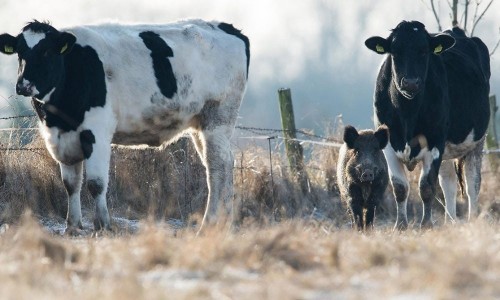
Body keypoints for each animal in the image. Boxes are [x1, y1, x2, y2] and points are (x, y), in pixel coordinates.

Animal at [0, 19, 250, 232]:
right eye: (20, 52)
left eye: (46, 51)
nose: (24, 85)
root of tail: (227, 27)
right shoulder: (61, 137)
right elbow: (71, 184)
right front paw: (72, 227)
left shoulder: (97, 132)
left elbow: (96, 183)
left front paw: (103, 226)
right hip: (200, 124)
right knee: (220, 164)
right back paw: (223, 224)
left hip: (218, 117)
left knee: (218, 166)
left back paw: (210, 224)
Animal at [366, 19, 490, 229]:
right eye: (395, 51)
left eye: (424, 51)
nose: (410, 83)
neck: (407, 113)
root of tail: (455, 31)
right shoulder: (389, 144)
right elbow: (400, 187)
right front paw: (401, 226)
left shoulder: (434, 142)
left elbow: (426, 186)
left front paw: (426, 225)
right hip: (448, 148)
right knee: (448, 183)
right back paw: (450, 221)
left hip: (476, 141)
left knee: (473, 182)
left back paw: (472, 219)